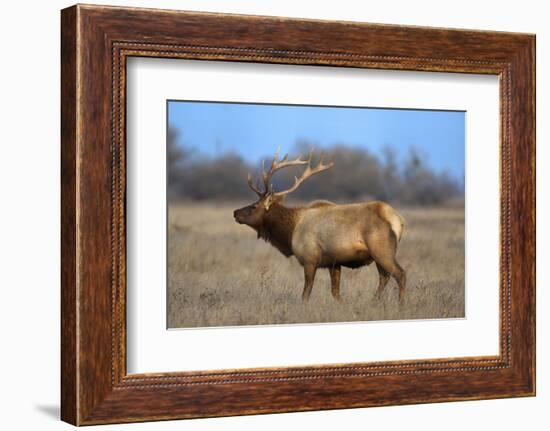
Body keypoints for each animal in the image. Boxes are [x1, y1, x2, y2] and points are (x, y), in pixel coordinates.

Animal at [233, 150, 406, 302]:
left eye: (254, 206)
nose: (235, 212)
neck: (290, 231)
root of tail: (397, 220)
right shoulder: (334, 263)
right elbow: (335, 293)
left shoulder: (309, 259)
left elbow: (305, 294)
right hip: (378, 255)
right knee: (384, 277)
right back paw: (373, 302)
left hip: (382, 250)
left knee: (400, 275)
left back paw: (400, 304)